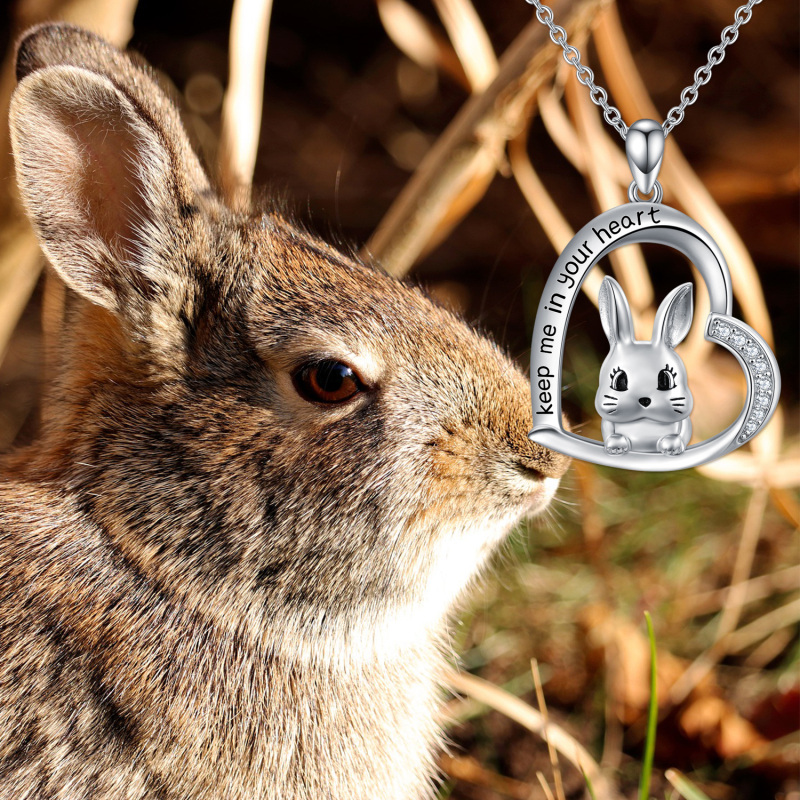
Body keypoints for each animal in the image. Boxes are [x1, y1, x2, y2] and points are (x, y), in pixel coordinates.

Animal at [594, 276, 694, 456]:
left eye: (666, 380)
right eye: (619, 381)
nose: (644, 400)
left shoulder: (684, 422)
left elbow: (683, 431)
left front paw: (671, 447)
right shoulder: (607, 422)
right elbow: (608, 429)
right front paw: (616, 446)